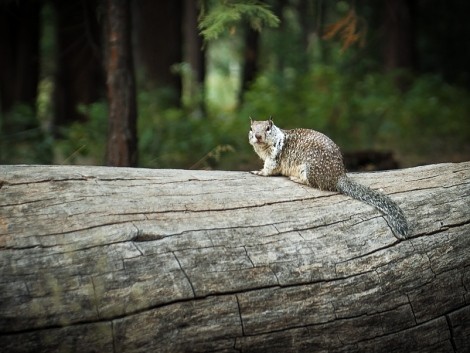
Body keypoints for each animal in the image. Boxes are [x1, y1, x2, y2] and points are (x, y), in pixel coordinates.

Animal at [250, 117, 408, 236]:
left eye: (268, 128)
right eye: (251, 128)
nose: (257, 136)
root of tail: (338, 176)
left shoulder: (273, 157)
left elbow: (269, 169)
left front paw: (258, 172)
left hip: (309, 169)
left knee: (313, 183)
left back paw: (296, 179)